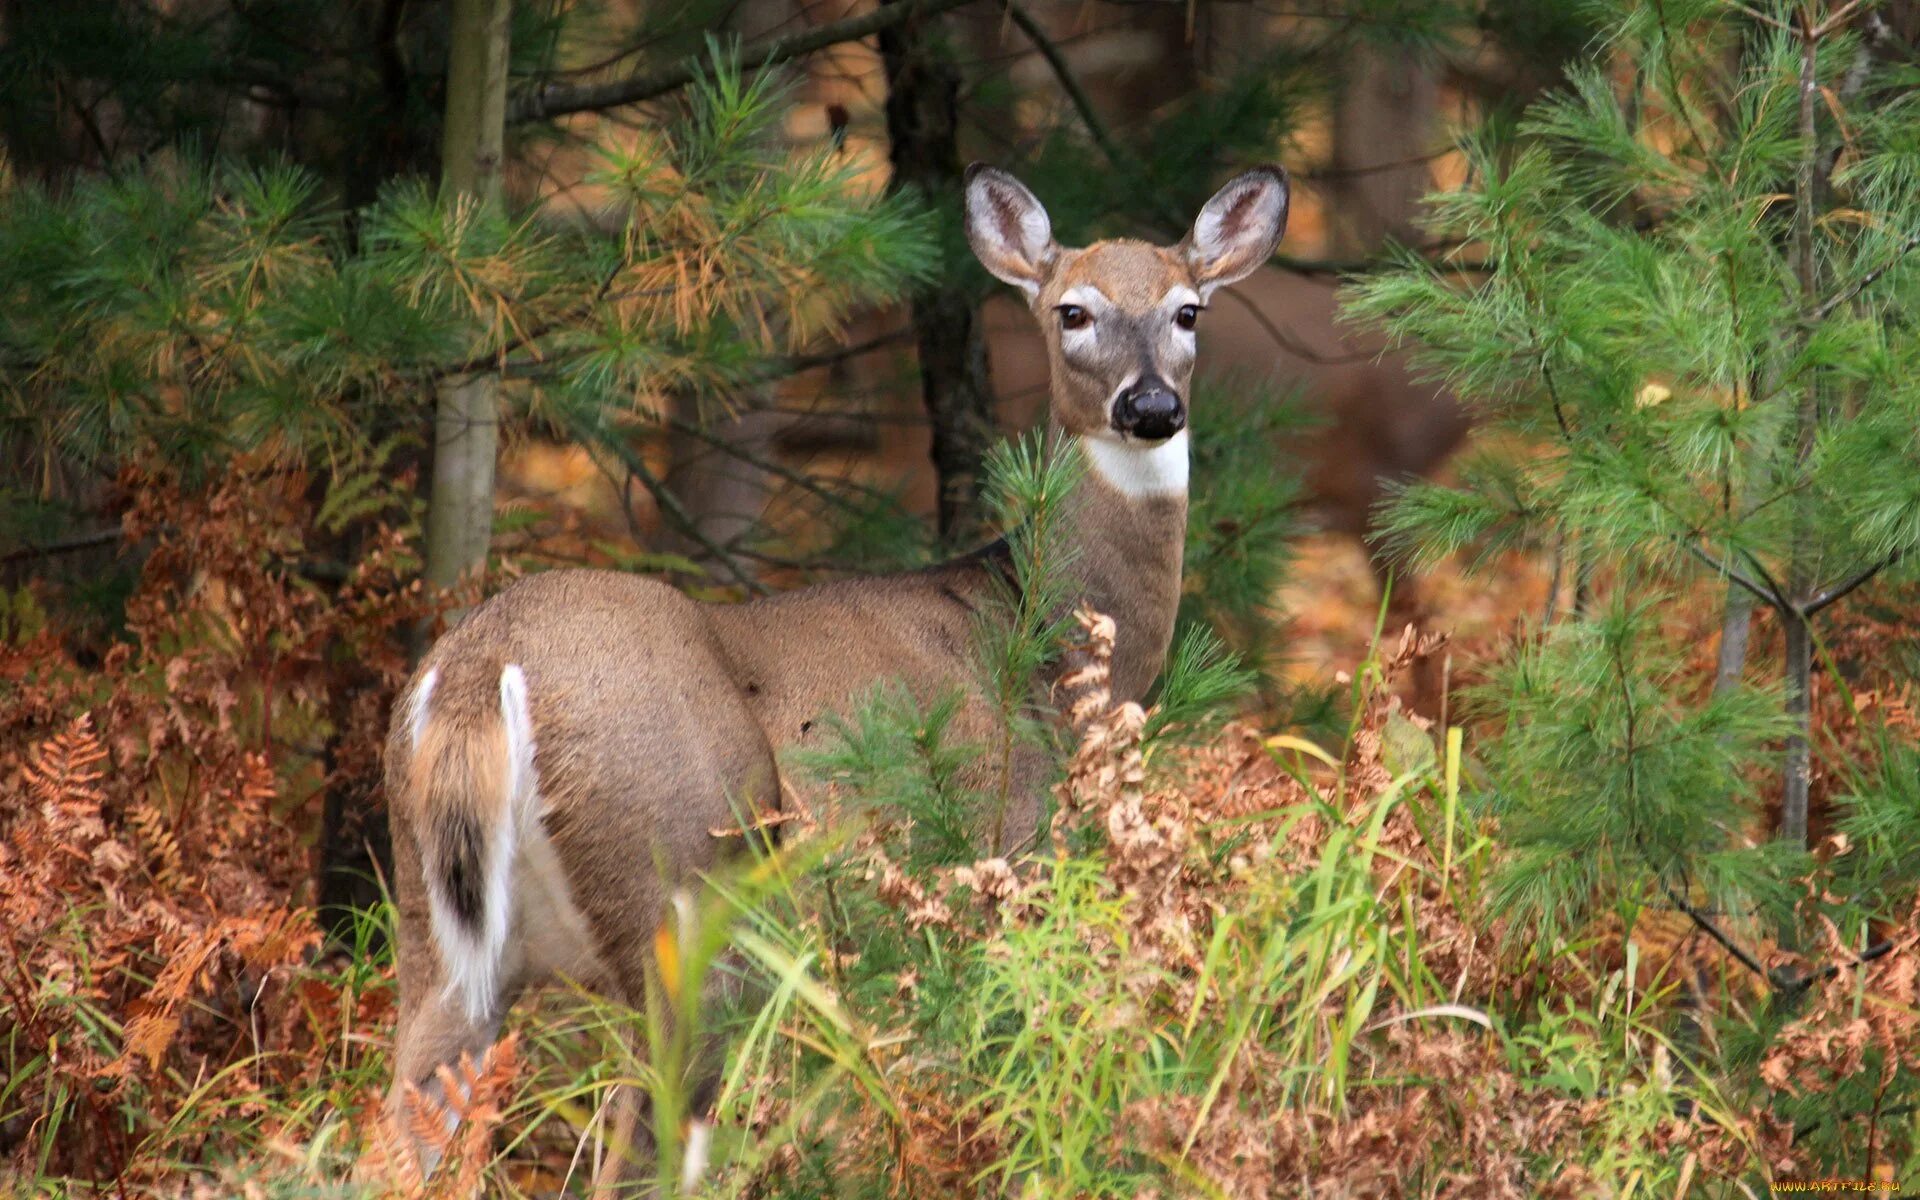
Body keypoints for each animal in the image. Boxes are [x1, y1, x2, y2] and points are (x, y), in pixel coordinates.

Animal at [376, 161, 1290, 1190]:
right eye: (1073, 312)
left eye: (1188, 311)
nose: (1150, 408)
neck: (1048, 637)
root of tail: (477, 672)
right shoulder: (1005, 852)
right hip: (683, 887)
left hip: (436, 932)